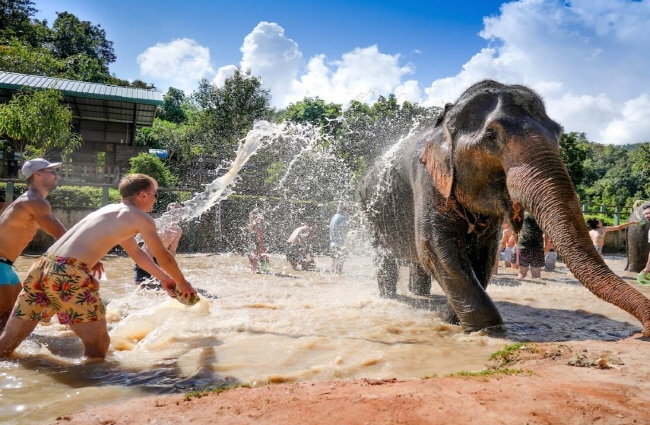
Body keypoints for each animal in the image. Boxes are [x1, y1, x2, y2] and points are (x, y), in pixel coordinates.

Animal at [354, 78, 648, 334]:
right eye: (492, 136)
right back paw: (391, 297)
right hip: (370, 210)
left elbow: (483, 251)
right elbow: (435, 245)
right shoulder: (427, 178)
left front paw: (454, 321)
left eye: (559, 133)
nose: (643, 331)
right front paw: (487, 330)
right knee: (387, 255)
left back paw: (420, 296)